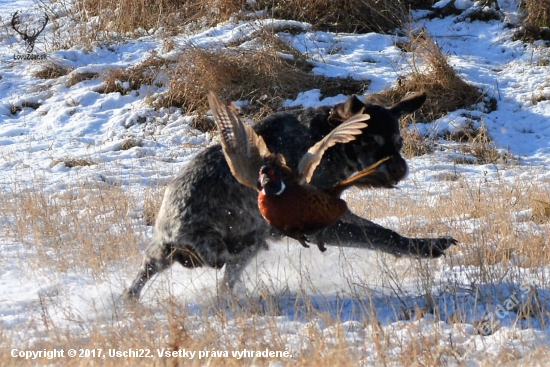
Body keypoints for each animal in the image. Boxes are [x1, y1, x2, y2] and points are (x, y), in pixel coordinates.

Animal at [125, 92, 458, 302]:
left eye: (398, 143)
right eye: (371, 143)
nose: (399, 169)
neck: (327, 143)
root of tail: (170, 235)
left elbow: (381, 232)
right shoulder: (322, 223)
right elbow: (382, 236)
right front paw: (423, 248)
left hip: (232, 248)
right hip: (217, 249)